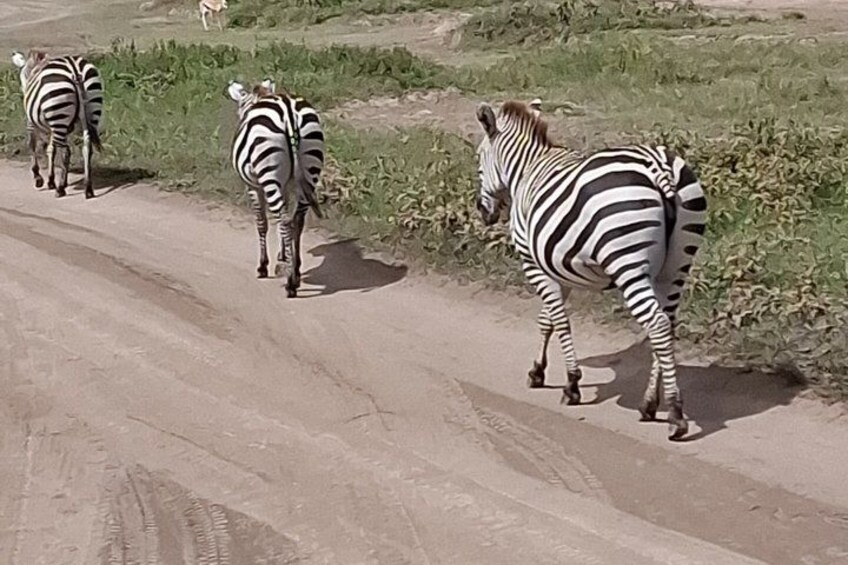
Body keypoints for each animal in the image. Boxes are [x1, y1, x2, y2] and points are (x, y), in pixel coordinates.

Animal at [11, 49, 103, 199]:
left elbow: (32, 145)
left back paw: (60, 190)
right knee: (87, 149)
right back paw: (88, 188)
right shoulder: (57, 127)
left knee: (66, 151)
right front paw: (52, 180)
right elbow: (51, 149)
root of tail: (74, 69)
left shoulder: (31, 123)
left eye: (23, 77)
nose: (24, 92)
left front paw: (39, 178)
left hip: (58, 112)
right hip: (91, 110)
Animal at [226, 78, 324, 298]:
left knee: (285, 221)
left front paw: (263, 266)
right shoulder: (286, 184)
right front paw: (284, 257)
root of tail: (288, 111)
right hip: (310, 171)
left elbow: (261, 222)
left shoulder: (253, 185)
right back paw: (295, 270)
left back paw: (290, 283)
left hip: (268, 173)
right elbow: (281, 218)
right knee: (295, 220)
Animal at [474, 99, 707, 441]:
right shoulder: (557, 267)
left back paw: (676, 414)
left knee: (657, 324)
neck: (528, 169)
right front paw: (538, 371)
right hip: (677, 265)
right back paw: (650, 404)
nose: (483, 212)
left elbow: (559, 320)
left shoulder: (533, 263)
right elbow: (547, 320)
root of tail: (658, 165)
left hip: (628, 262)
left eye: (478, 161)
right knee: (668, 323)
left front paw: (571, 384)